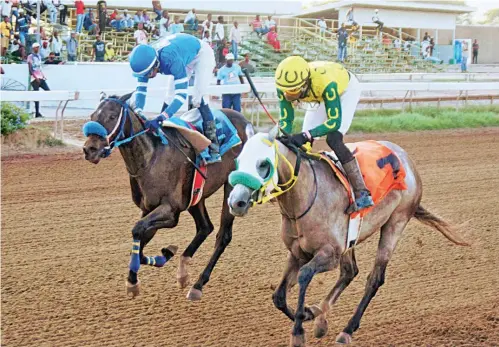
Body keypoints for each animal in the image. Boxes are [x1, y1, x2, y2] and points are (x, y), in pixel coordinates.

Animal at [227, 128, 468, 347]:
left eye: (263, 164)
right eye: (238, 161)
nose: (236, 202)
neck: (305, 197)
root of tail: (407, 160)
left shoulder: (329, 254)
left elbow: (304, 275)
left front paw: (298, 331)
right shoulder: (297, 253)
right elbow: (278, 296)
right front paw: (308, 314)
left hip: (396, 222)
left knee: (374, 278)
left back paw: (347, 330)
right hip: (351, 240)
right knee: (350, 271)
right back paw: (321, 316)